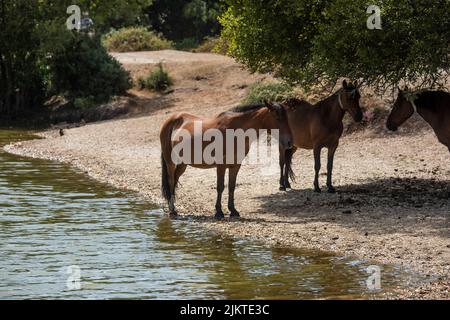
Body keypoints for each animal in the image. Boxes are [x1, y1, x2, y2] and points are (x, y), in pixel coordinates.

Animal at [160, 101, 294, 219]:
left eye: (287, 118)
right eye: (277, 117)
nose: (289, 142)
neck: (235, 132)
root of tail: (172, 119)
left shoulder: (235, 165)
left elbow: (231, 187)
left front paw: (233, 210)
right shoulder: (221, 166)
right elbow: (220, 187)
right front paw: (219, 212)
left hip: (183, 164)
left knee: (175, 180)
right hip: (169, 161)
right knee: (171, 181)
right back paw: (172, 209)